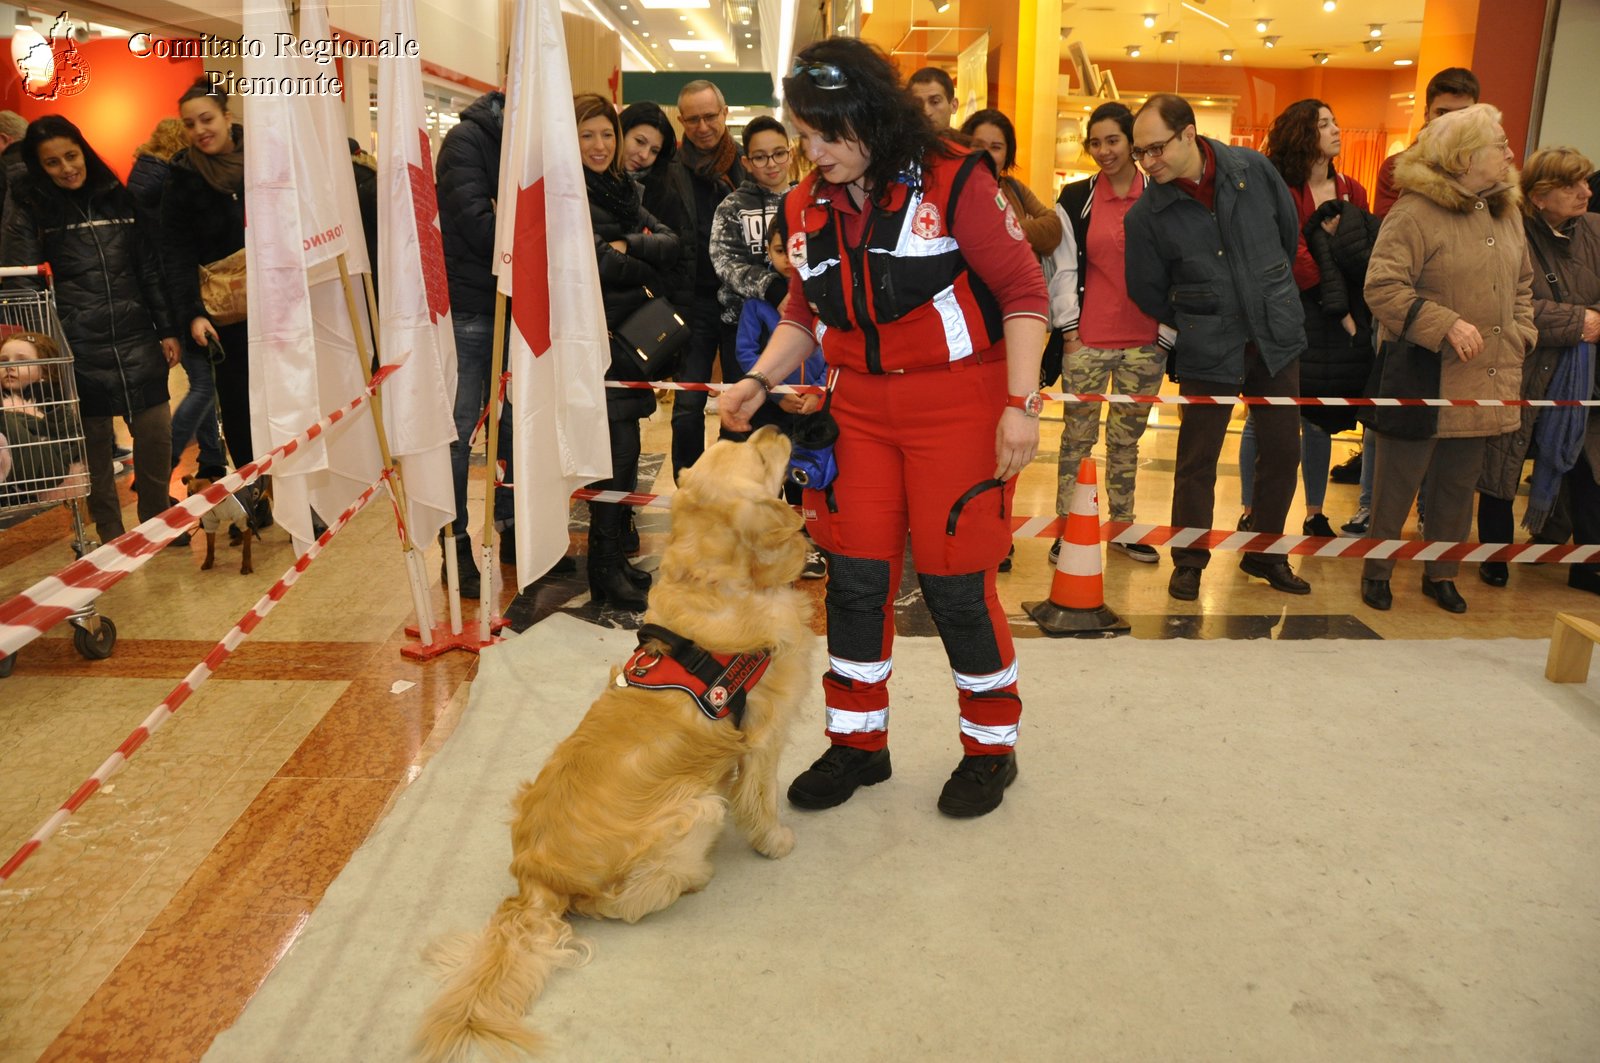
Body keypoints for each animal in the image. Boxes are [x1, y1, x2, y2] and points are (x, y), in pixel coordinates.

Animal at [416, 425, 812, 1063]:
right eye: (758, 454)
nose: (774, 426)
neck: (717, 579)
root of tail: (534, 882)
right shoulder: (763, 735)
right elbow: (759, 798)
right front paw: (775, 841)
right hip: (694, 810)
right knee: (625, 905)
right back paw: (692, 877)